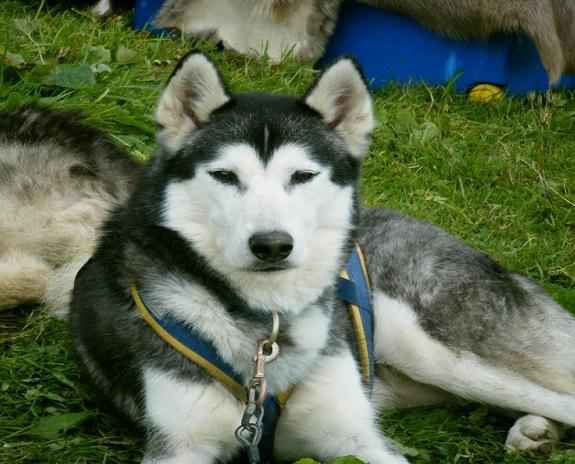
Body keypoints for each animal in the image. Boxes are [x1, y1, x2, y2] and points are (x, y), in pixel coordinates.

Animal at [69, 52, 575, 463]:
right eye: (225, 176)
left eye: (303, 176)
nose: (272, 244)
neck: (269, 326)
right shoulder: (179, 446)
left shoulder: (356, 437)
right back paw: (534, 431)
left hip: (436, 349)